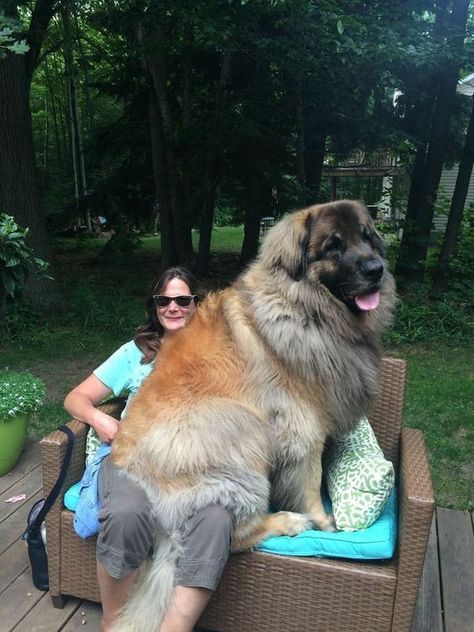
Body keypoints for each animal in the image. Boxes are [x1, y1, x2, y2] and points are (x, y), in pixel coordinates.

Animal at [111, 199, 396, 632]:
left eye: (367, 237)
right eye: (333, 245)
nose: (376, 269)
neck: (305, 307)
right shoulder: (302, 425)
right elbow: (310, 480)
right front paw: (322, 520)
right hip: (239, 430)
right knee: (238, 533)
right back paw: (288, 521)